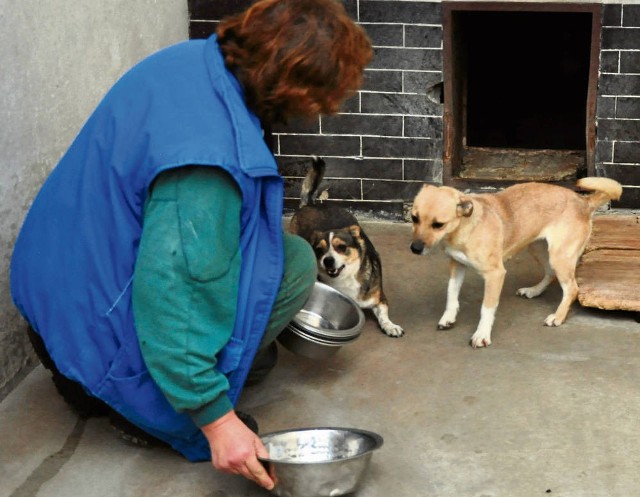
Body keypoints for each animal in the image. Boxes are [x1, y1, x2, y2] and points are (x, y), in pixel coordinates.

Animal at [410, 176, 620, 346]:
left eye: (438, 224)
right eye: (414, 218)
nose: (415, 249)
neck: (464, 229)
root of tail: (584, 202)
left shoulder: (495, 275)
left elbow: (487, 307)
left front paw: (482, 335)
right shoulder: (457, 266)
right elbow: (451, 295)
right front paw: (448, 318)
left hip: (559, 257)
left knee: (572, 289)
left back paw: (558, 317)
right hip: (538, 249)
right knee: (550, 274)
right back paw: (534, 291)